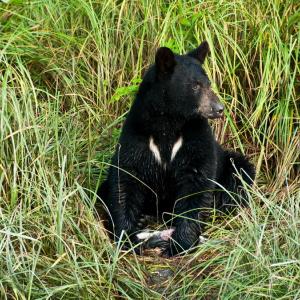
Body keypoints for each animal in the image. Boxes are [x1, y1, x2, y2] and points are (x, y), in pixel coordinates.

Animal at [99, 41, 255, 258]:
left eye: (209, 83)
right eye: (195, 85)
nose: (219, 108)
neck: (169, 122)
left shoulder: (195, 137)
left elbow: (196, 182)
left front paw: (179, 243)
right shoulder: (138, 135)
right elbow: (126, 178)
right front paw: (128, 236)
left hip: (229, 163)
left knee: (239, 173)